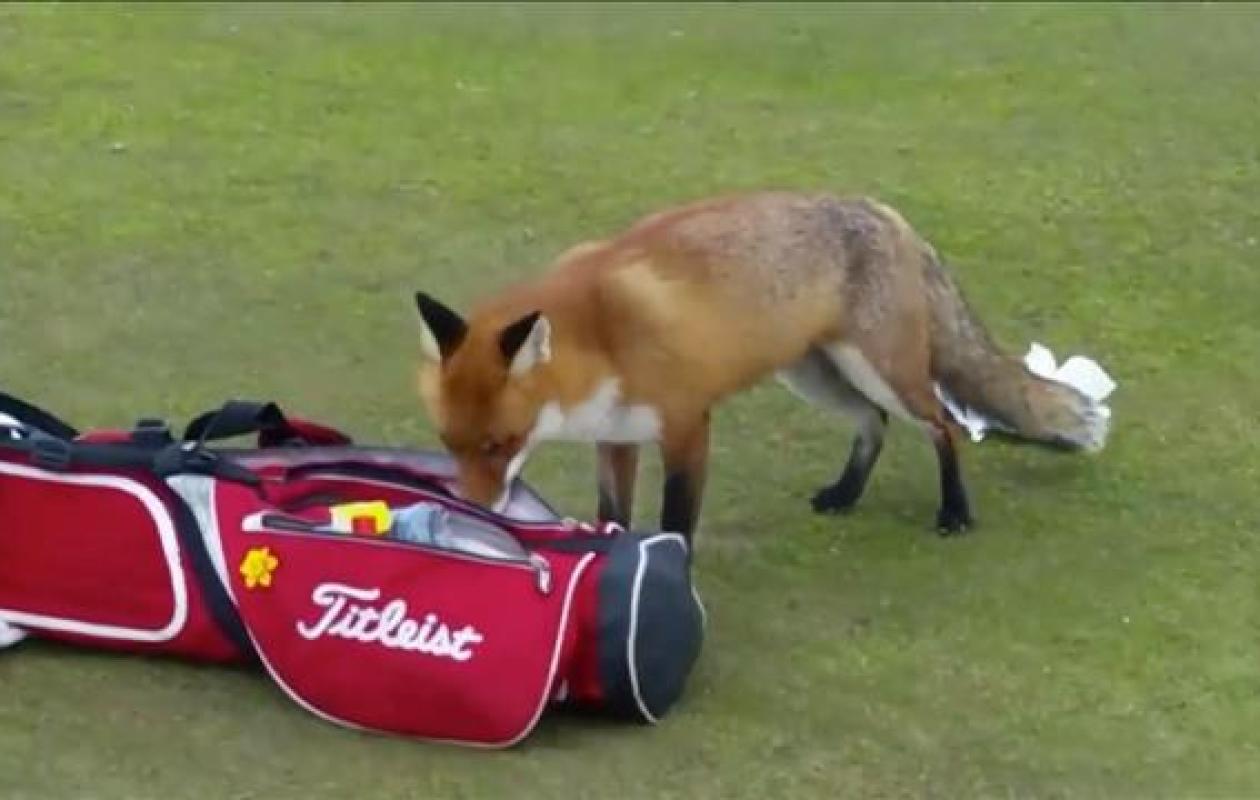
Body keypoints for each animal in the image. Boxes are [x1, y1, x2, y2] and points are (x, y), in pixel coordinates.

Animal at [411, 190, 1109, 540]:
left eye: (500, 444)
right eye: (449, 443)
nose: (476, 508)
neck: (604, 333)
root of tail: (887, 212)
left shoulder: (688, 426)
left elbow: (676, 522)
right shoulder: (617, 438)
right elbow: (616, 515)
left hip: (881, 371)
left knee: (944, 425)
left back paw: (955, 513)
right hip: (814, 375)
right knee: (875, 425)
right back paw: (845, 494)